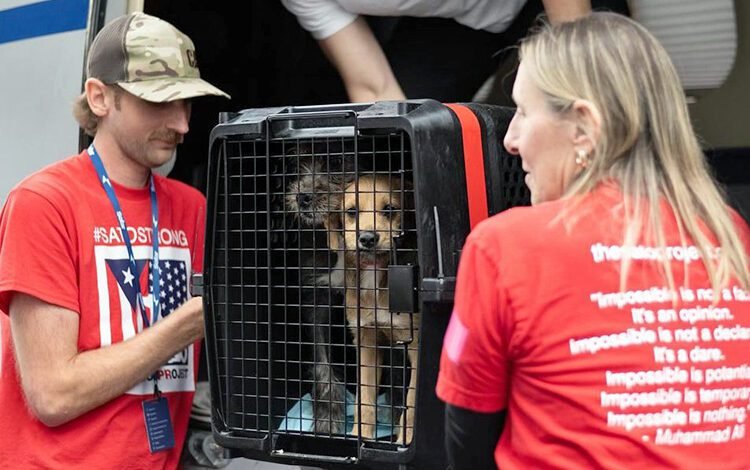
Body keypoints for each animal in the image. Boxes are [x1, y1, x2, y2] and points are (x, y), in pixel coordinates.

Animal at [328, 175, 424, 444]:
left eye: (390, 209)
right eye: (351, 212)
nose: (368, 238)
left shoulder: (416, 345)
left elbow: (412, 401)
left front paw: (405, 441)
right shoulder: (367, 340)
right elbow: (365, 398)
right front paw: (360, 435)